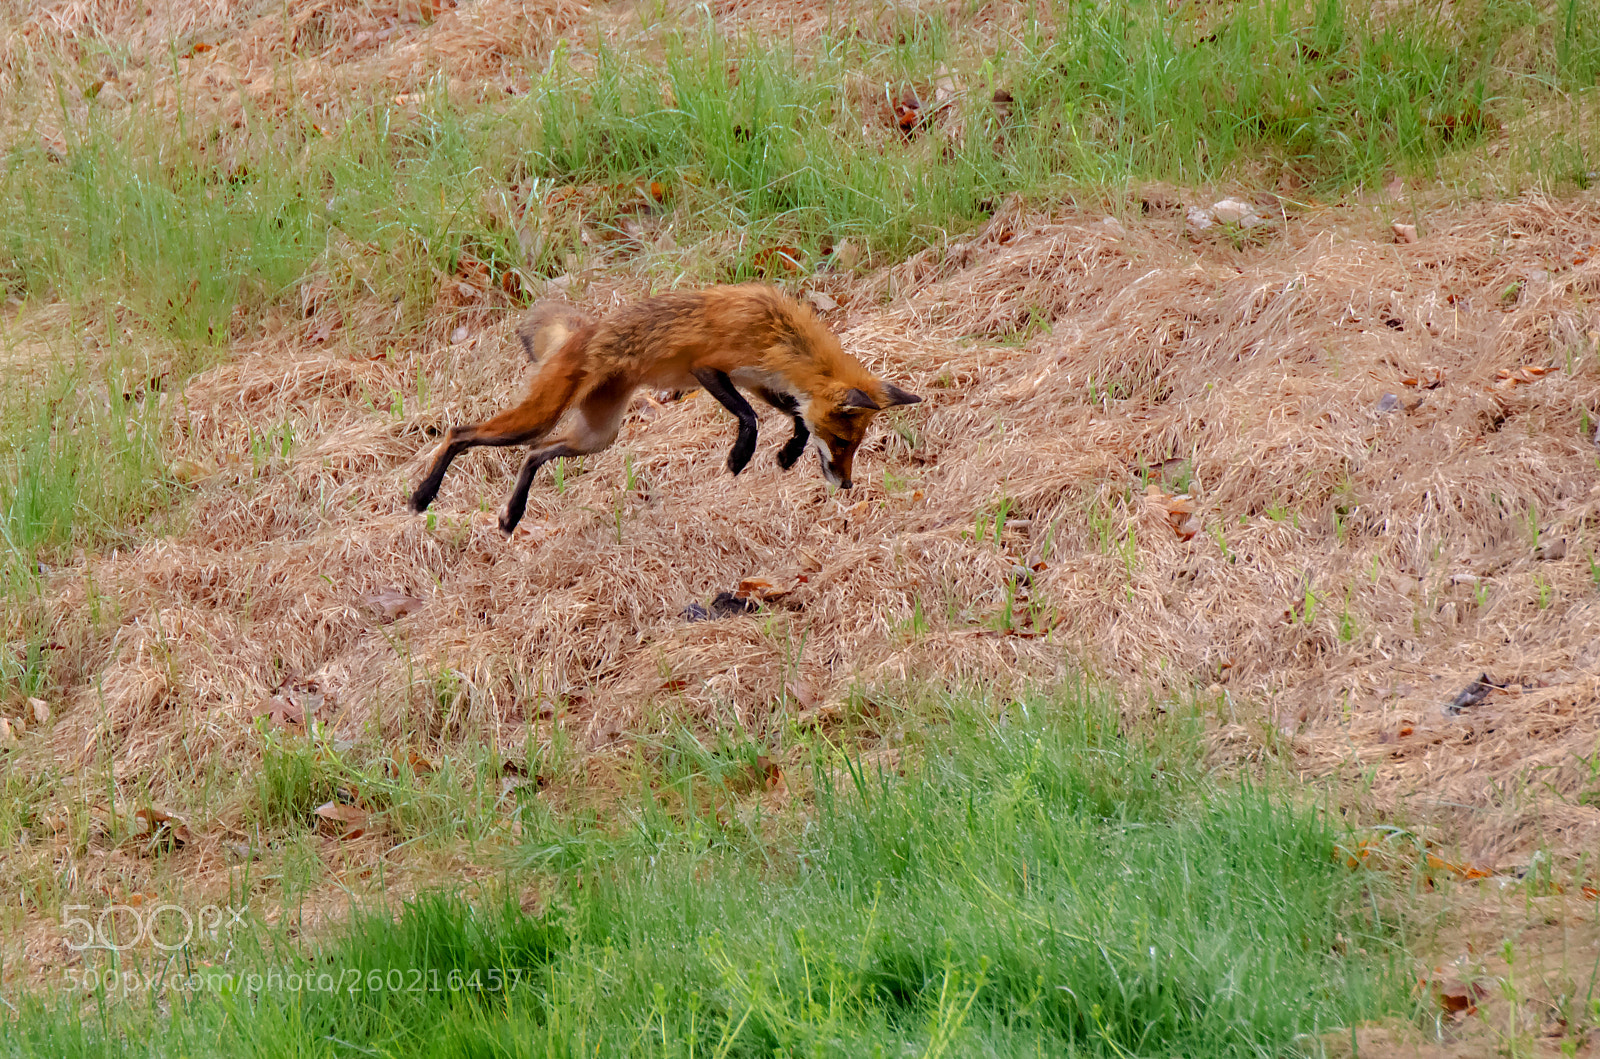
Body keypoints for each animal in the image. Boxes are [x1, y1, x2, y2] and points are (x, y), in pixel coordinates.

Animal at [408, 284, 922, 535]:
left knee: (535, 454)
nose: (848, 484)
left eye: (856, 445)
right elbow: (751, 419)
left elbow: (795, 417)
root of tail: (584, 331)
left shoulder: (759, 381)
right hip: (542, 415)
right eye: (842, 442)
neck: (780, 335)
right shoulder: (709, 368)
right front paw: (741, 456)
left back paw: (512, 515)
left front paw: (788, 454)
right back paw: (423, 495)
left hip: (597, 436)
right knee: (459, 433)